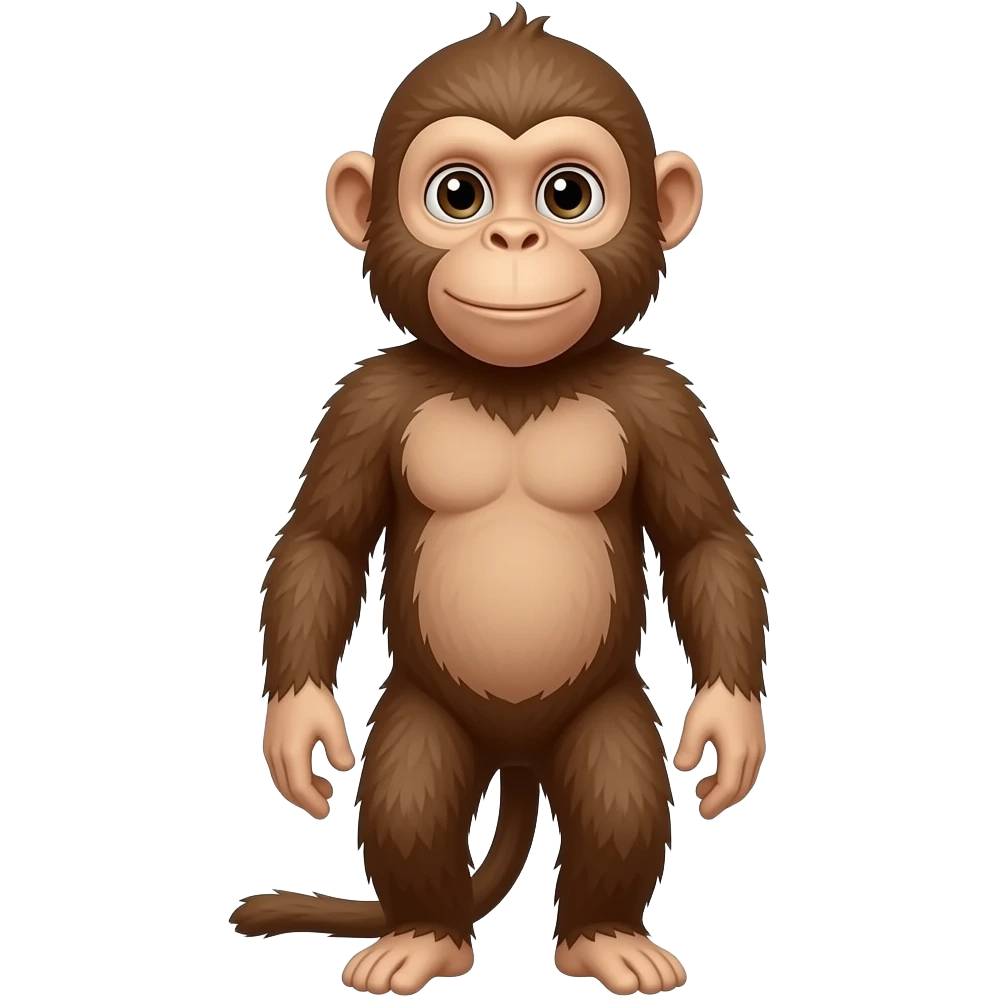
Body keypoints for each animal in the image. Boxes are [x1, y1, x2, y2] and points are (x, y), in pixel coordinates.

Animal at [230, 6, 767, 995]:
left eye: (566, 195)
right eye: (459, 195)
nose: (513, 241)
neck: (515, 381)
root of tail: (516, 759)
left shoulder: (664, 400)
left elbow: (705, 540)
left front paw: (728, 726)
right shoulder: (363, 401)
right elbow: (322, 540)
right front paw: (298, 728)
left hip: (600, 707)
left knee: (616, 785)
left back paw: (604, 934)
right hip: (426, 708)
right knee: (411, 784)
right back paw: (424, 934)